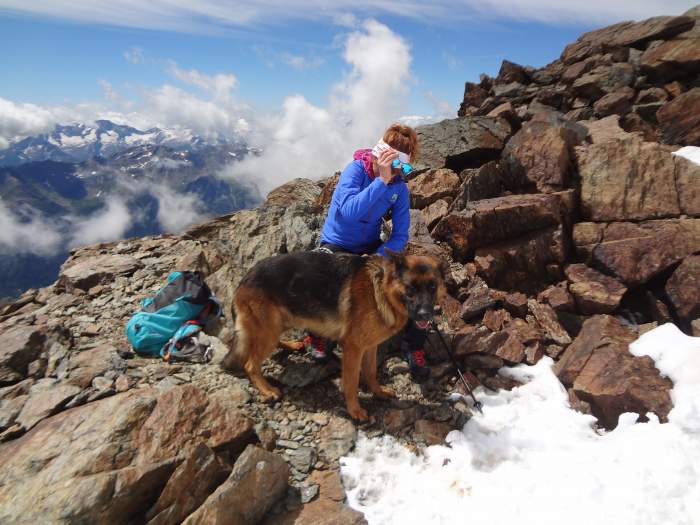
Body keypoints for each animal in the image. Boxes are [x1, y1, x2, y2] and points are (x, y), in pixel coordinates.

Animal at [221, 250, 446, 422]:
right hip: (269, 329)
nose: (425, 314)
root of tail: (246, 277)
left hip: (278, 325)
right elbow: (352, 383)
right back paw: (267, 390)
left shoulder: (370, 346)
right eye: (411, 288)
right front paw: (355, 411)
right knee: (250, 364)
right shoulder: (353, 348)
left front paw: (379, 392)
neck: (380, 289)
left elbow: (371, 372)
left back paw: (291, 345)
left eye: (432, 287)